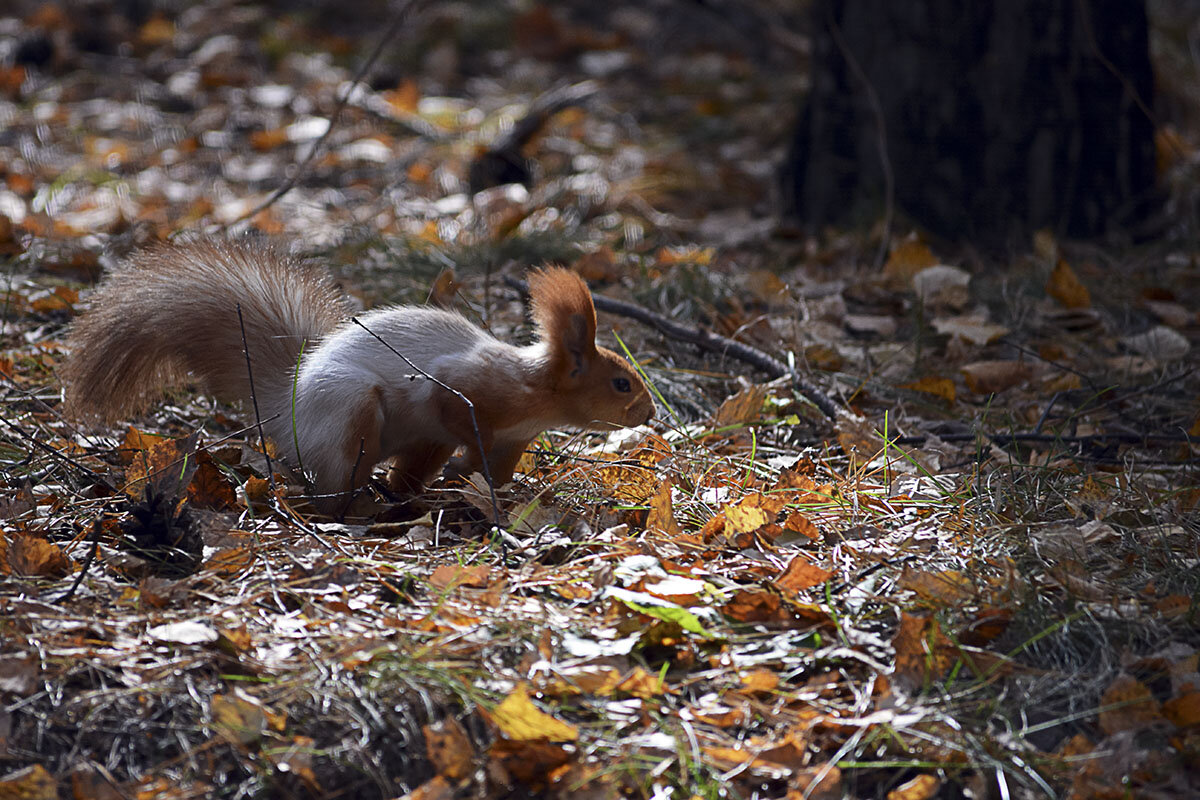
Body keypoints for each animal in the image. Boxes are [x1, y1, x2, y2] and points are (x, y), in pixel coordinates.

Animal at [59, 239, 652, 506]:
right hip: (353, 409)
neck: (534, 391)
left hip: (415, 443)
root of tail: (286, 407)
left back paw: (405, 496)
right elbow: (460, 419)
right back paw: (357, 499)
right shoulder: (460, 389)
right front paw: (469, 468)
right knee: (334, 479)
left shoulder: (514, 439)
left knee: (402, 473)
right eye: (621, 382)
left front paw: (484, 484)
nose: (648, 411)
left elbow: (499, 469)